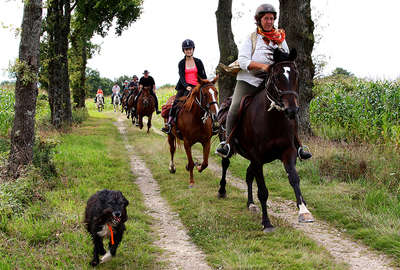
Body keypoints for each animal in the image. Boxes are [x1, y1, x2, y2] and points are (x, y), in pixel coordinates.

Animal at [217, 54, 314, 232]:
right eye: (276, 77)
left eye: (296, 75)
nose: (292, 110)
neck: (272, 119)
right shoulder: (257, 157)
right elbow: (262, 191)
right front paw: (267, 222)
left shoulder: (288, 152)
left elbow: (294, 179)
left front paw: (304, 211)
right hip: (230, 148)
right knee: (225, 165)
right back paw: (222, 190)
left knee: (248, 175)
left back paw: (250, 204)